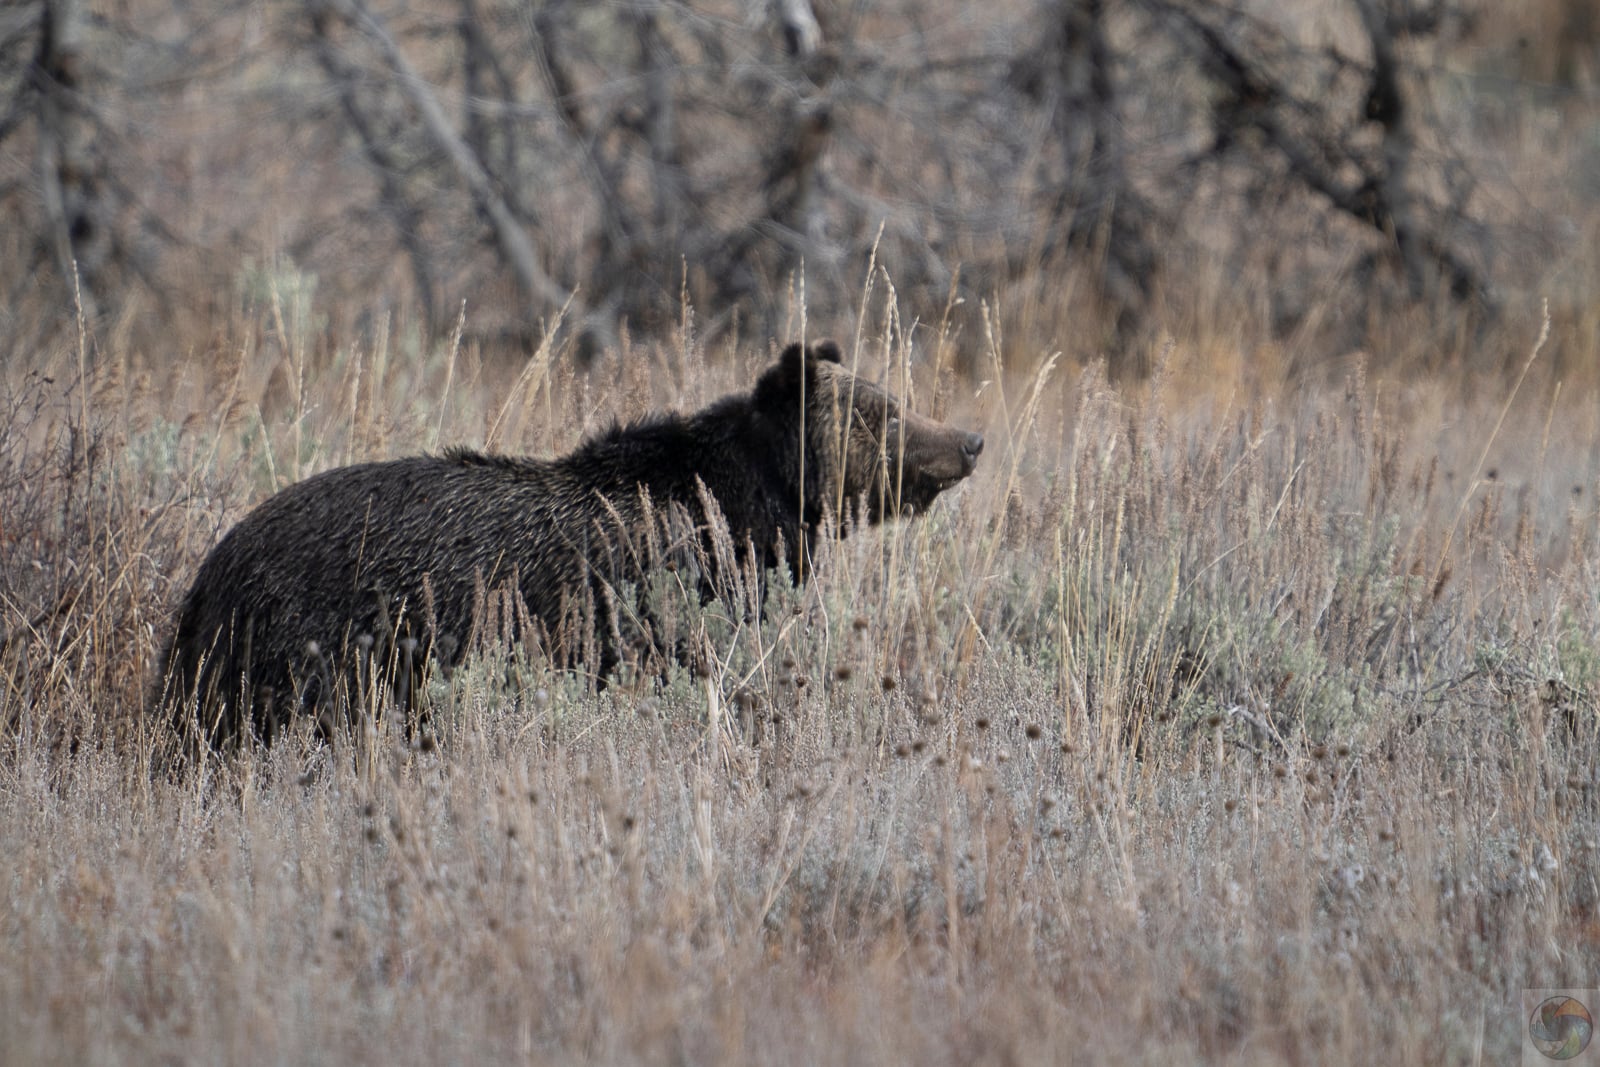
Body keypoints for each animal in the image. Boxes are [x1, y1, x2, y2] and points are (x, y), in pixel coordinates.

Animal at [159, 340, 983, 753]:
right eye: (884, 411)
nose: (969, 440)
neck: (746, 503)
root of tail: (209, 573)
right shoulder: (653, 604)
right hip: (304, 652)